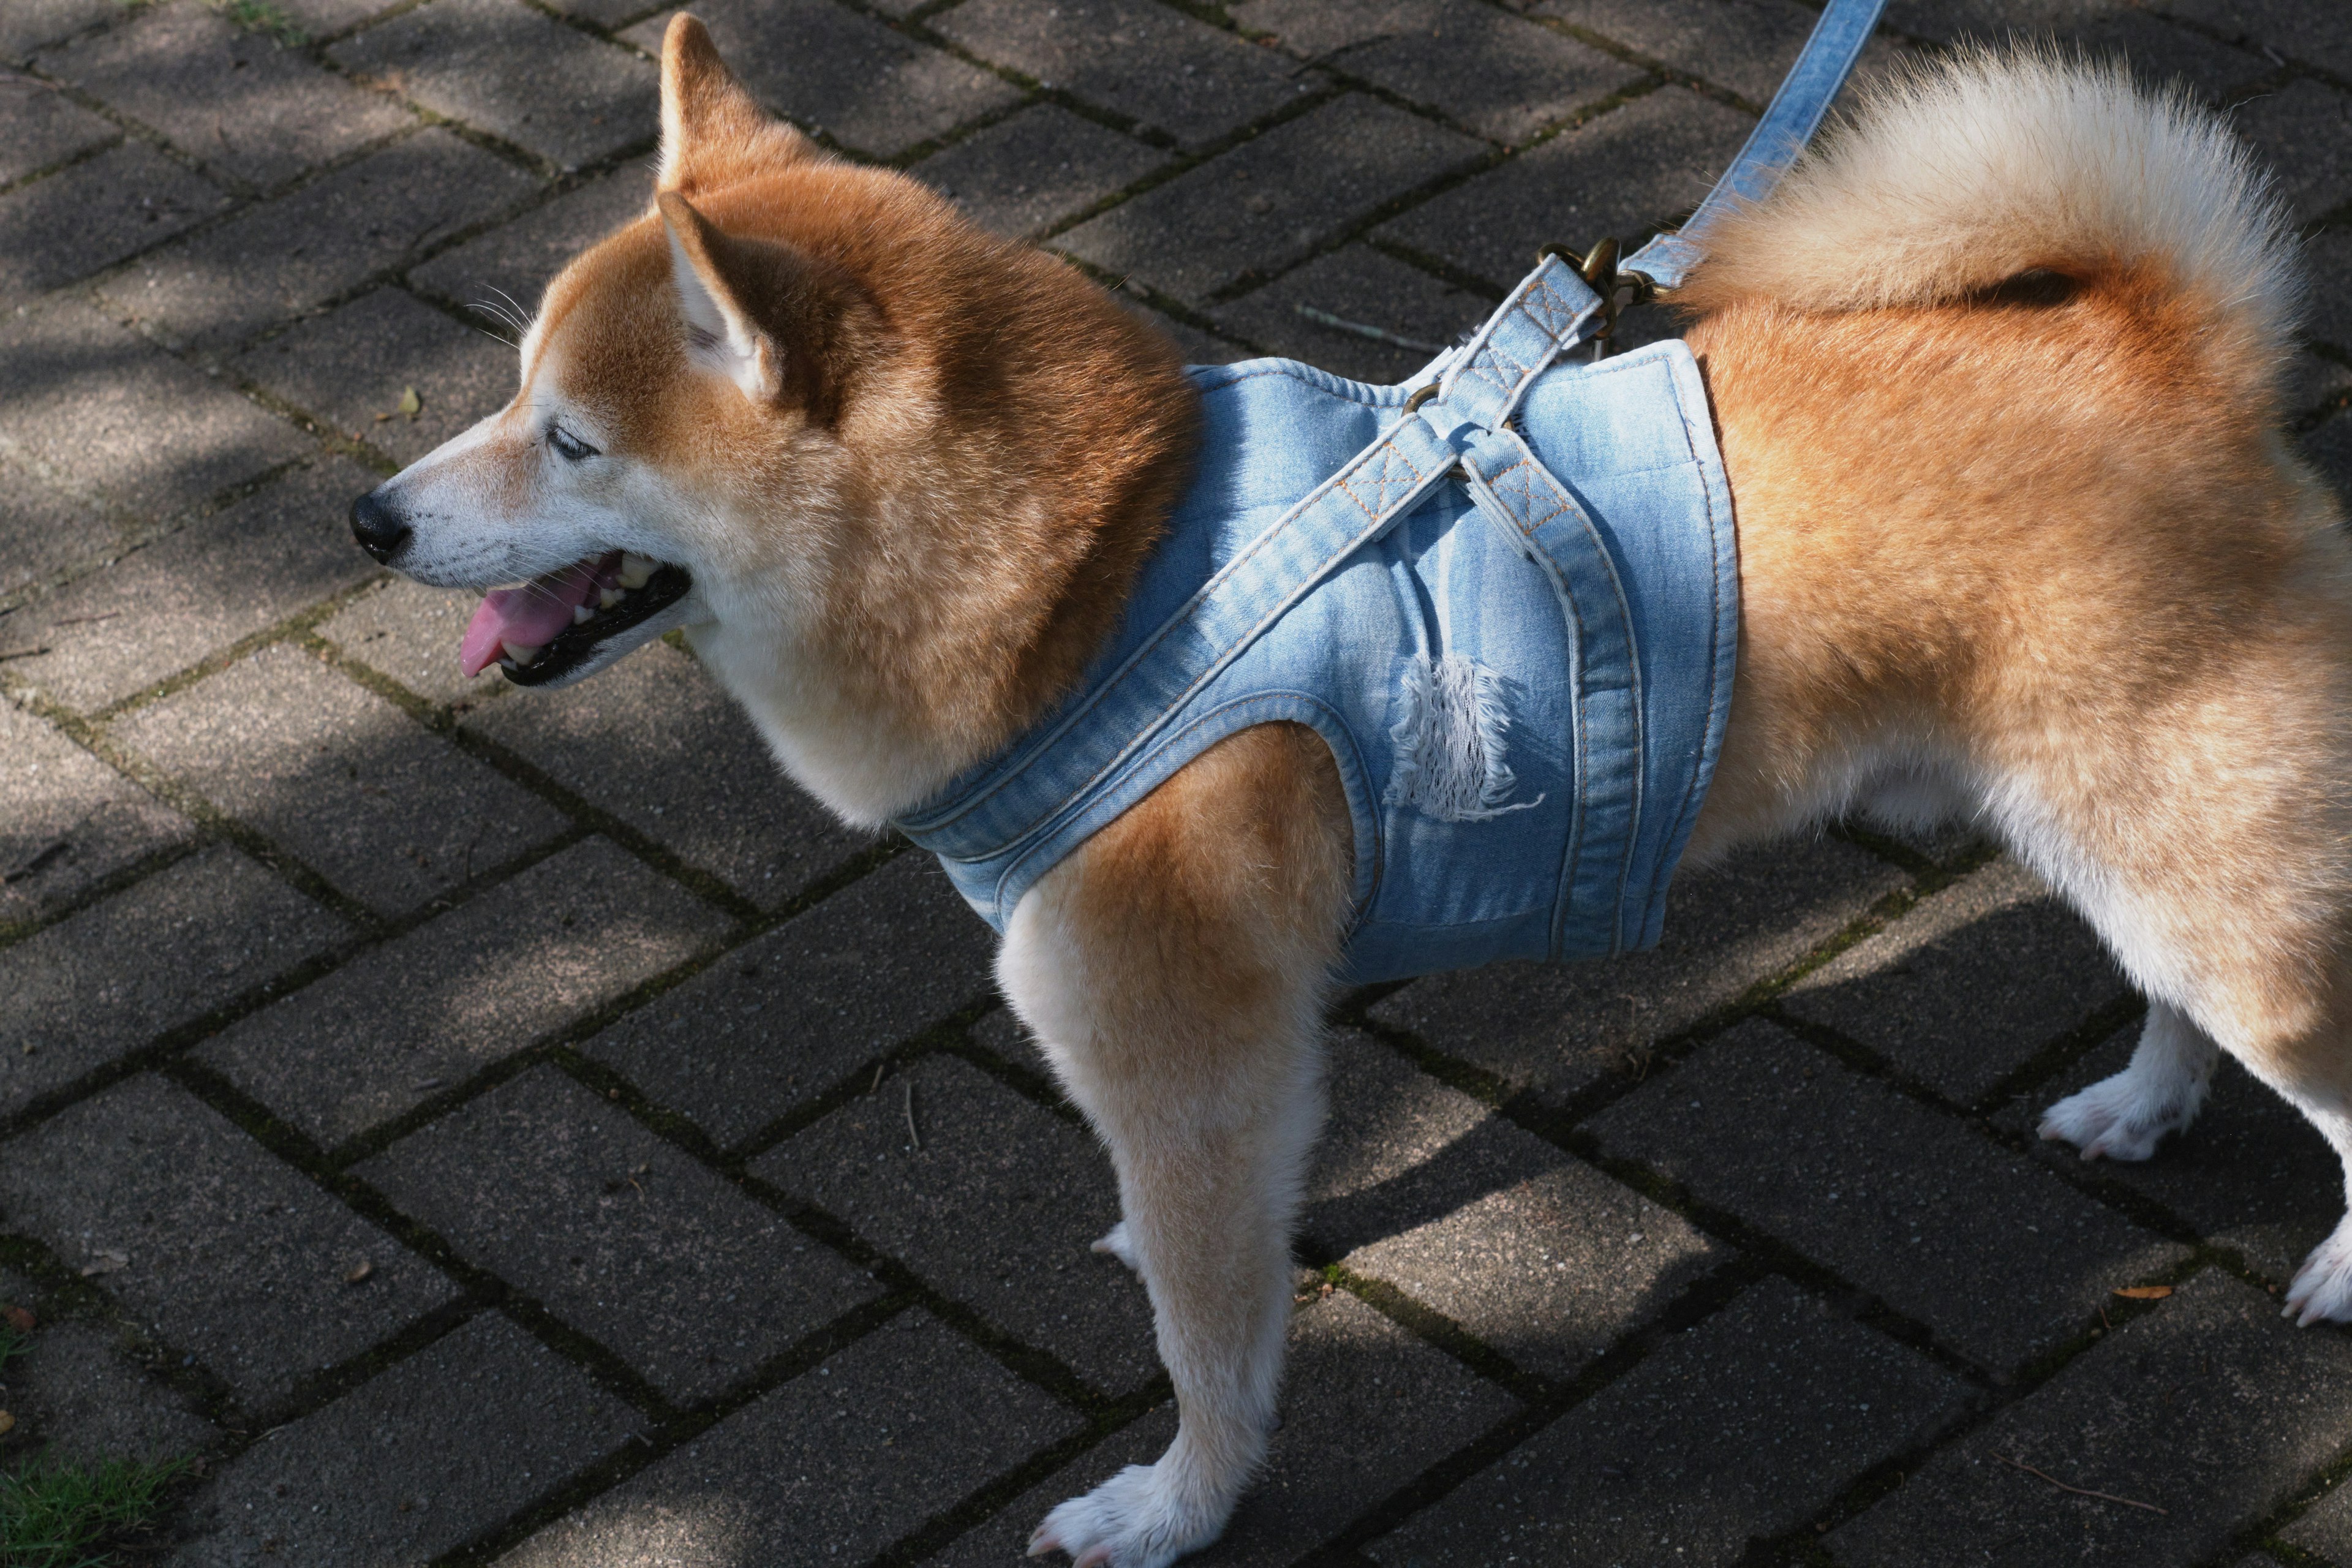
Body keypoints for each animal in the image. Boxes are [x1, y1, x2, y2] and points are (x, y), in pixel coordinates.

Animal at [353, 18, 2352, 1561]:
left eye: (571, 441)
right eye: (510, 394)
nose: (368, 519)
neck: (1102, 584)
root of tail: (2167, 345)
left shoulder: (1193, 1057)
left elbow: (1210, 1341)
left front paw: (1174, 1508)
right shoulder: (1229, 1066)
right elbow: (1201, 1254)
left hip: (2200, 865)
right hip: (2113, 839)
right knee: (2166, 993)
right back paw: (2143, 1105)